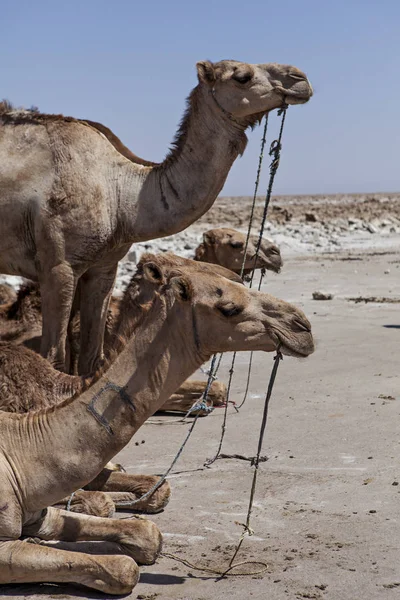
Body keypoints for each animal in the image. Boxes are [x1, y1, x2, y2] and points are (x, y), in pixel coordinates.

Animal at [0, 58, 312, 372]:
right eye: (242, 77)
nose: (300, 79)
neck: (121, 193)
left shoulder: (105, 267)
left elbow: (91, 357)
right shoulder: (59, 267)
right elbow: (55, 357)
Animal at [0, 251, 314, 592]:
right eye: (229, 308)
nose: (303, 326)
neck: (22, 454)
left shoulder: (40, 514)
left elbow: (148, 534)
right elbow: (124, 568)